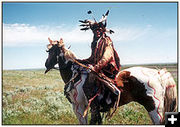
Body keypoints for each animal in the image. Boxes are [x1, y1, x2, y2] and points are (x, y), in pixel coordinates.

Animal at [44, 37, 177, 124]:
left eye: (49, 51)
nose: (46, 64)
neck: (75, 74)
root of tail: (158, 74)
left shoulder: (79, 107)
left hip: (155, 108)